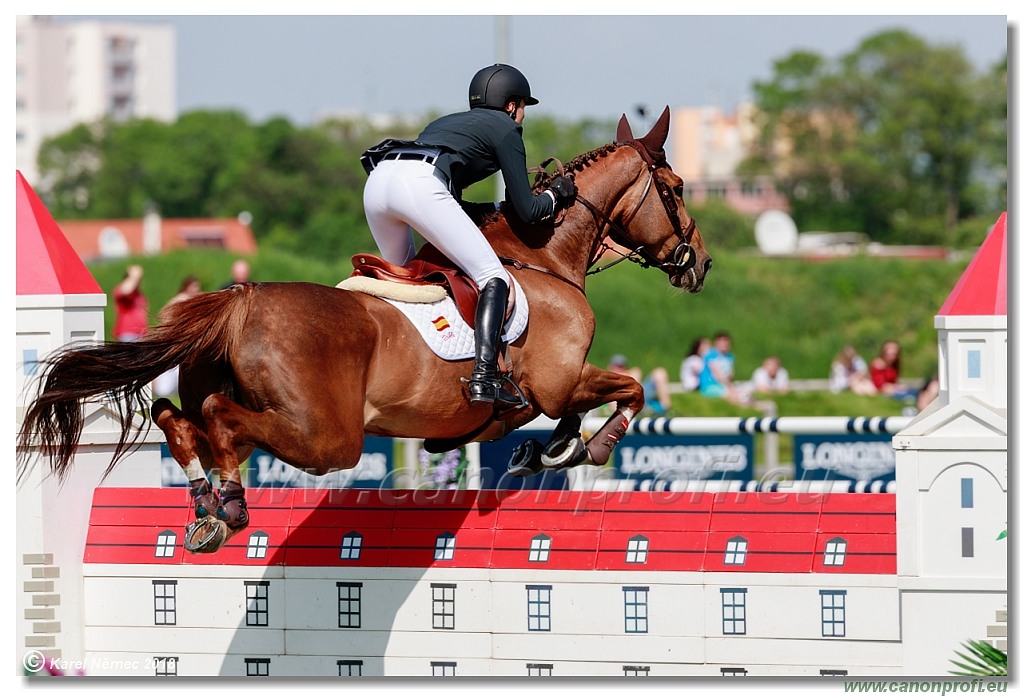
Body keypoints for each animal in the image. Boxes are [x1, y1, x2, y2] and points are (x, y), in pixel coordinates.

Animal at [22, 105, 712, 552]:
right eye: (677, 188)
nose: (699, 263)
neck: (542, 258)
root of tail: (240, 302)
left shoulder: (557, 387)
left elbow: (588, 405)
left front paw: (546, 449)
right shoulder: (559, 380)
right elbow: (628, 390)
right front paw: (581, 448)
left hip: (249, 405)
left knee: (176, 417)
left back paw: (206, 507)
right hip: (328, 437)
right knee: (217, 417)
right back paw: (232, 506)